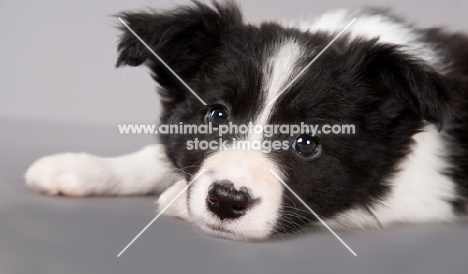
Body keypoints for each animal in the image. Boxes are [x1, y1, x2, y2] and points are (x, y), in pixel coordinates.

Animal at [24, 0, 468, 240]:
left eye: (307, 144)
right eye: (217, 115)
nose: (226, 200)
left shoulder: (430, 192)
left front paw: (176, 198)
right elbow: (160, 153)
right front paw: (79, 168)